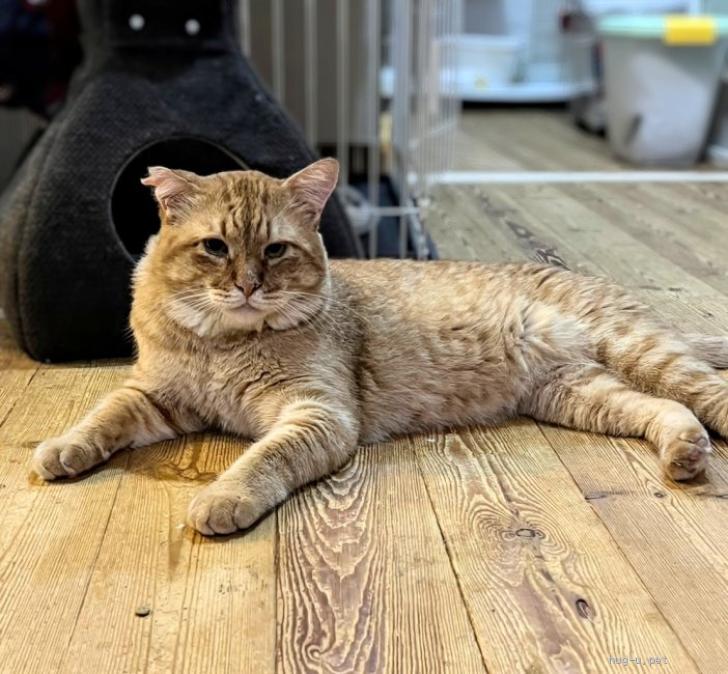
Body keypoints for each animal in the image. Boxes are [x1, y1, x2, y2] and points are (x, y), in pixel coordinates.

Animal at [32, 158, 728, 535]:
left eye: (276, 250)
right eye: (215, 247)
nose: (248, 285)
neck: (224, 344)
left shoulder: (317, 414)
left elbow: (262, 461)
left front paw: (224, 497)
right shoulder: (155, 395)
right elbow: (103, 415)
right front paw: (65, 447)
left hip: (639, 352)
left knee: (706, 393)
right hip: (580, 394)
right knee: (668, 411)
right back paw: (685, 454)